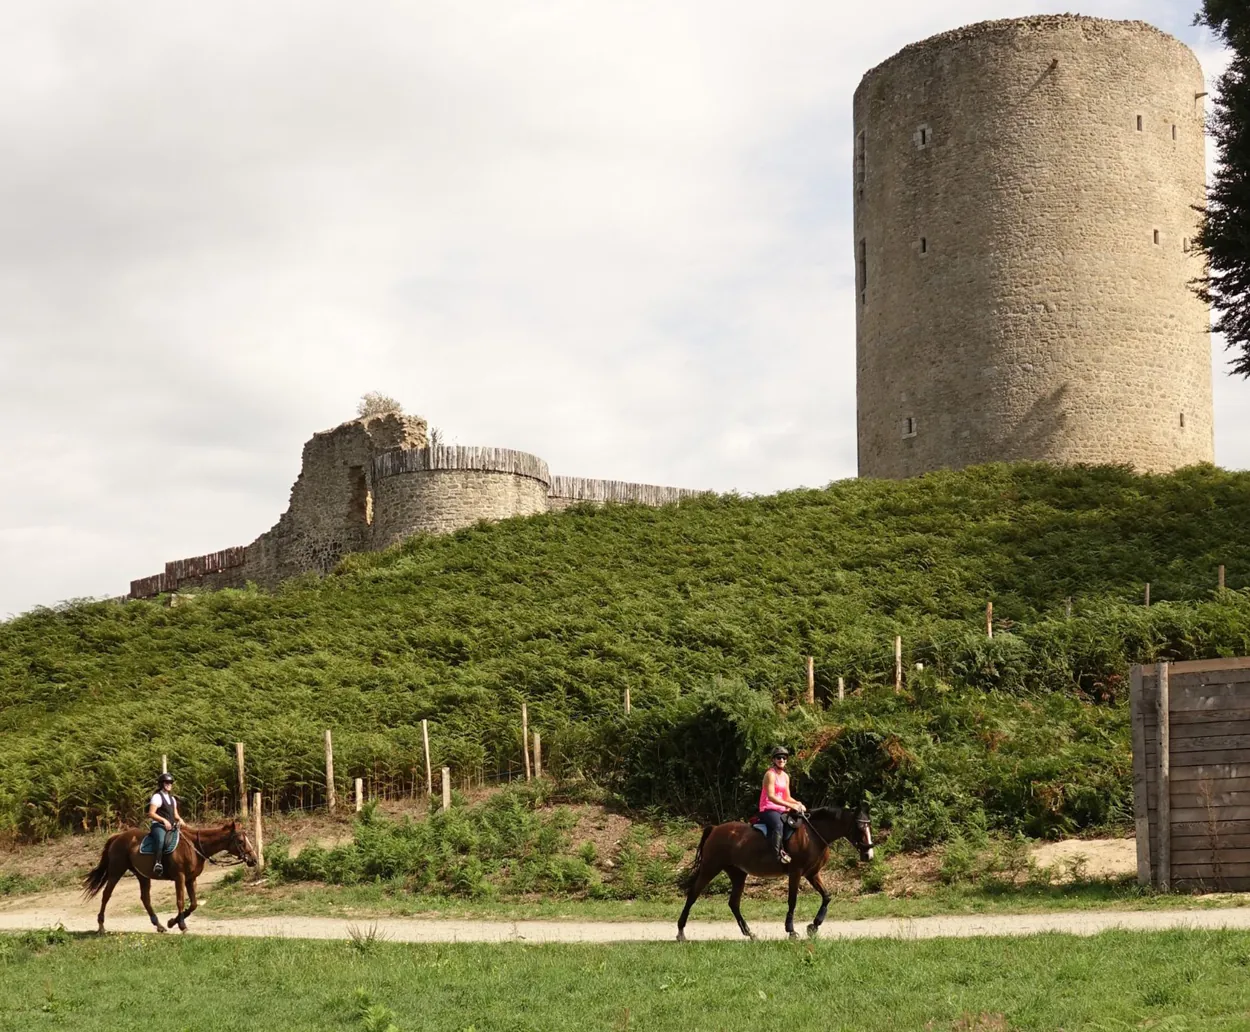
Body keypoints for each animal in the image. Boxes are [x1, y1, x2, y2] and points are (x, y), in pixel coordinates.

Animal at [81, 819, 258, 934]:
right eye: (241, 841)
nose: (254, 859)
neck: (193, 847)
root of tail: (117, 837)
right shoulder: (180, 877)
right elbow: (180, 901)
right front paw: (181, 925)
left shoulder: (191, 879)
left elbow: (193, 904)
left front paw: (172, 922)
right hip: (116, 872)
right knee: (106, 895)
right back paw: (101, 927)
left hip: (142, 875)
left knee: (145, 899)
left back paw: (159, 925)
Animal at [680, 804, 875, 939]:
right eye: (860, 827)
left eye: (869, 827)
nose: (869, 854)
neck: (813, 835)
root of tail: (715, 829)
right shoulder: (796, 873)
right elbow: (792, 901)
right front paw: (791, 931)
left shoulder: (812, 874)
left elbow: (827, 896)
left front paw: (813, 926)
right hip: (710, 868)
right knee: (693, 895)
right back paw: (681, 932)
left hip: (738, 874)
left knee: (733, 903)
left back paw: (749, 933)